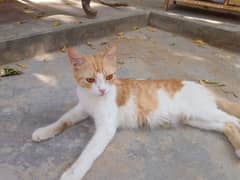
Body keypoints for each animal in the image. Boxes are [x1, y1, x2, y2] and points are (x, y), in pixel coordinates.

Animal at [31, 46, 240, 180]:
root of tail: (202, 86)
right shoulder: (81, 109)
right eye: (90, 80)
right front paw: (44, 131)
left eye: (110, 77)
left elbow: (88, 153)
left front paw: (73, 173)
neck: (93, 98)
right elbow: (63, 120)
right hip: (196, 119)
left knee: (233, 119)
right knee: (227, 125)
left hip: (205, 112)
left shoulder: (106, 128)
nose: (102, 90)